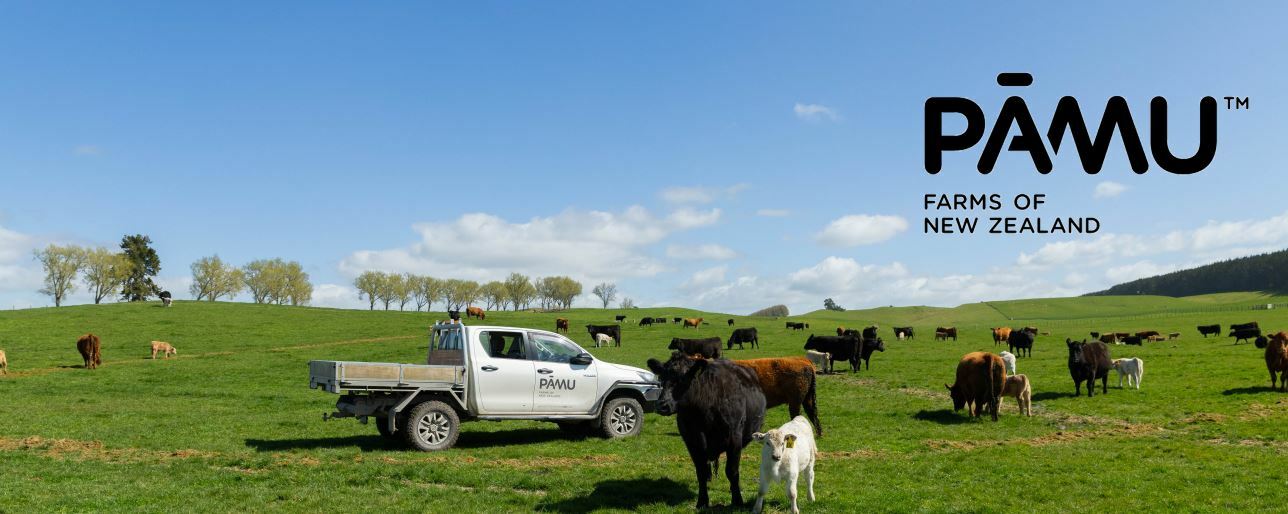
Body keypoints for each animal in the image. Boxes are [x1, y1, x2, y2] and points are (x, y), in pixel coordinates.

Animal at [644, 352, 762, 510]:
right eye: (661, 378)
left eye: (683, 379)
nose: (661, 405)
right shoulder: (692, 440)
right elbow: (701, 471)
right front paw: (702, 501)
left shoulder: (734, 438)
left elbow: (732, 471)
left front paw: (737, 501)